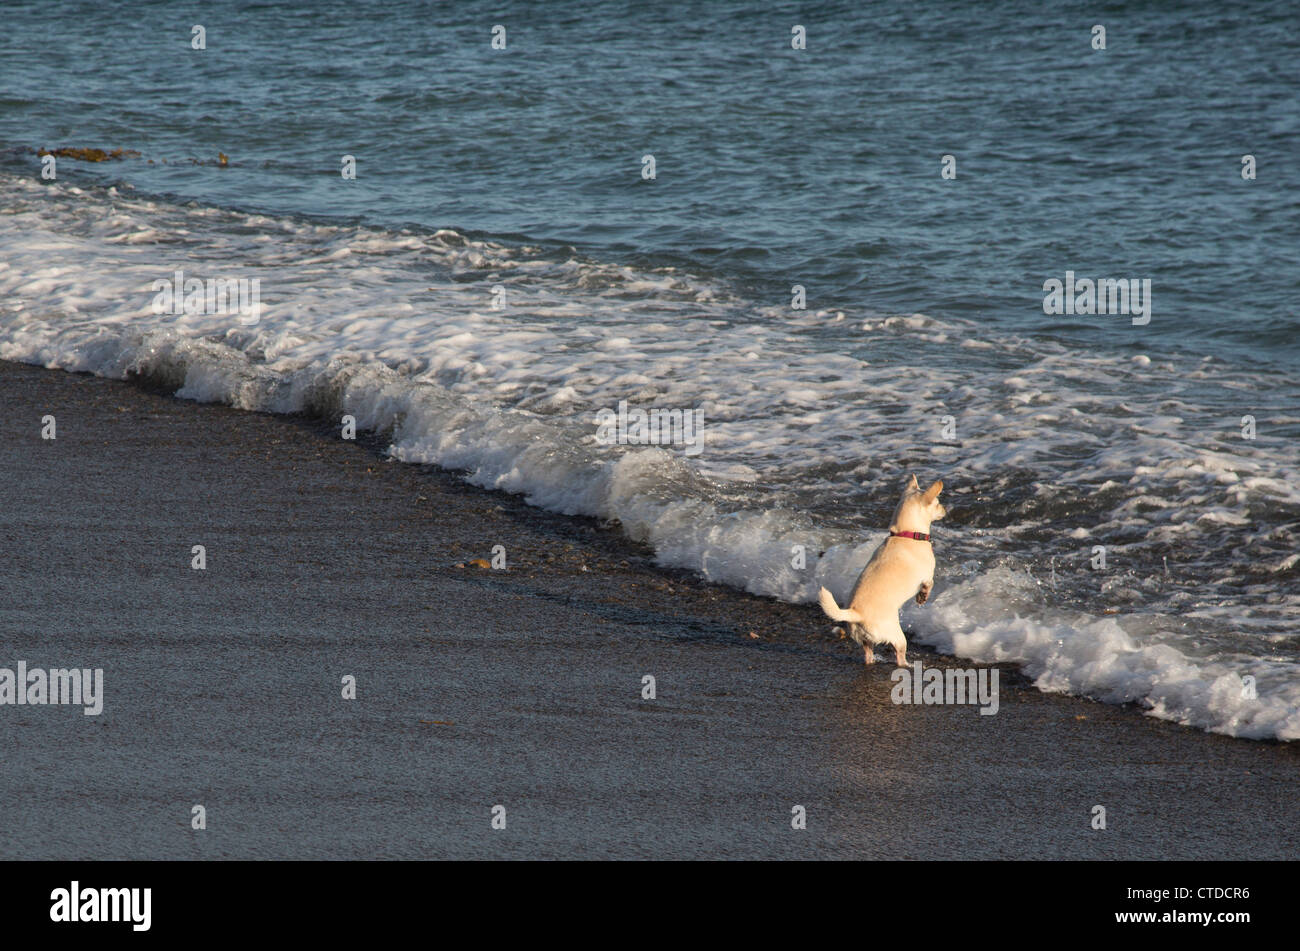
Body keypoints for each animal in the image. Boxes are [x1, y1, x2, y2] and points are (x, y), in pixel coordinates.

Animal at [821, 475, 946, 670]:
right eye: (938, 503)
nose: (945, 509)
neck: (905, 534)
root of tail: (856, 613)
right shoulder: (927, 575)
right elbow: (929, 585)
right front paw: (922, 598)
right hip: (898, 637)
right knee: (899, 655)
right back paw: (908, 665)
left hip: (866, 640)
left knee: (868, 653)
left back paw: (871, 661)